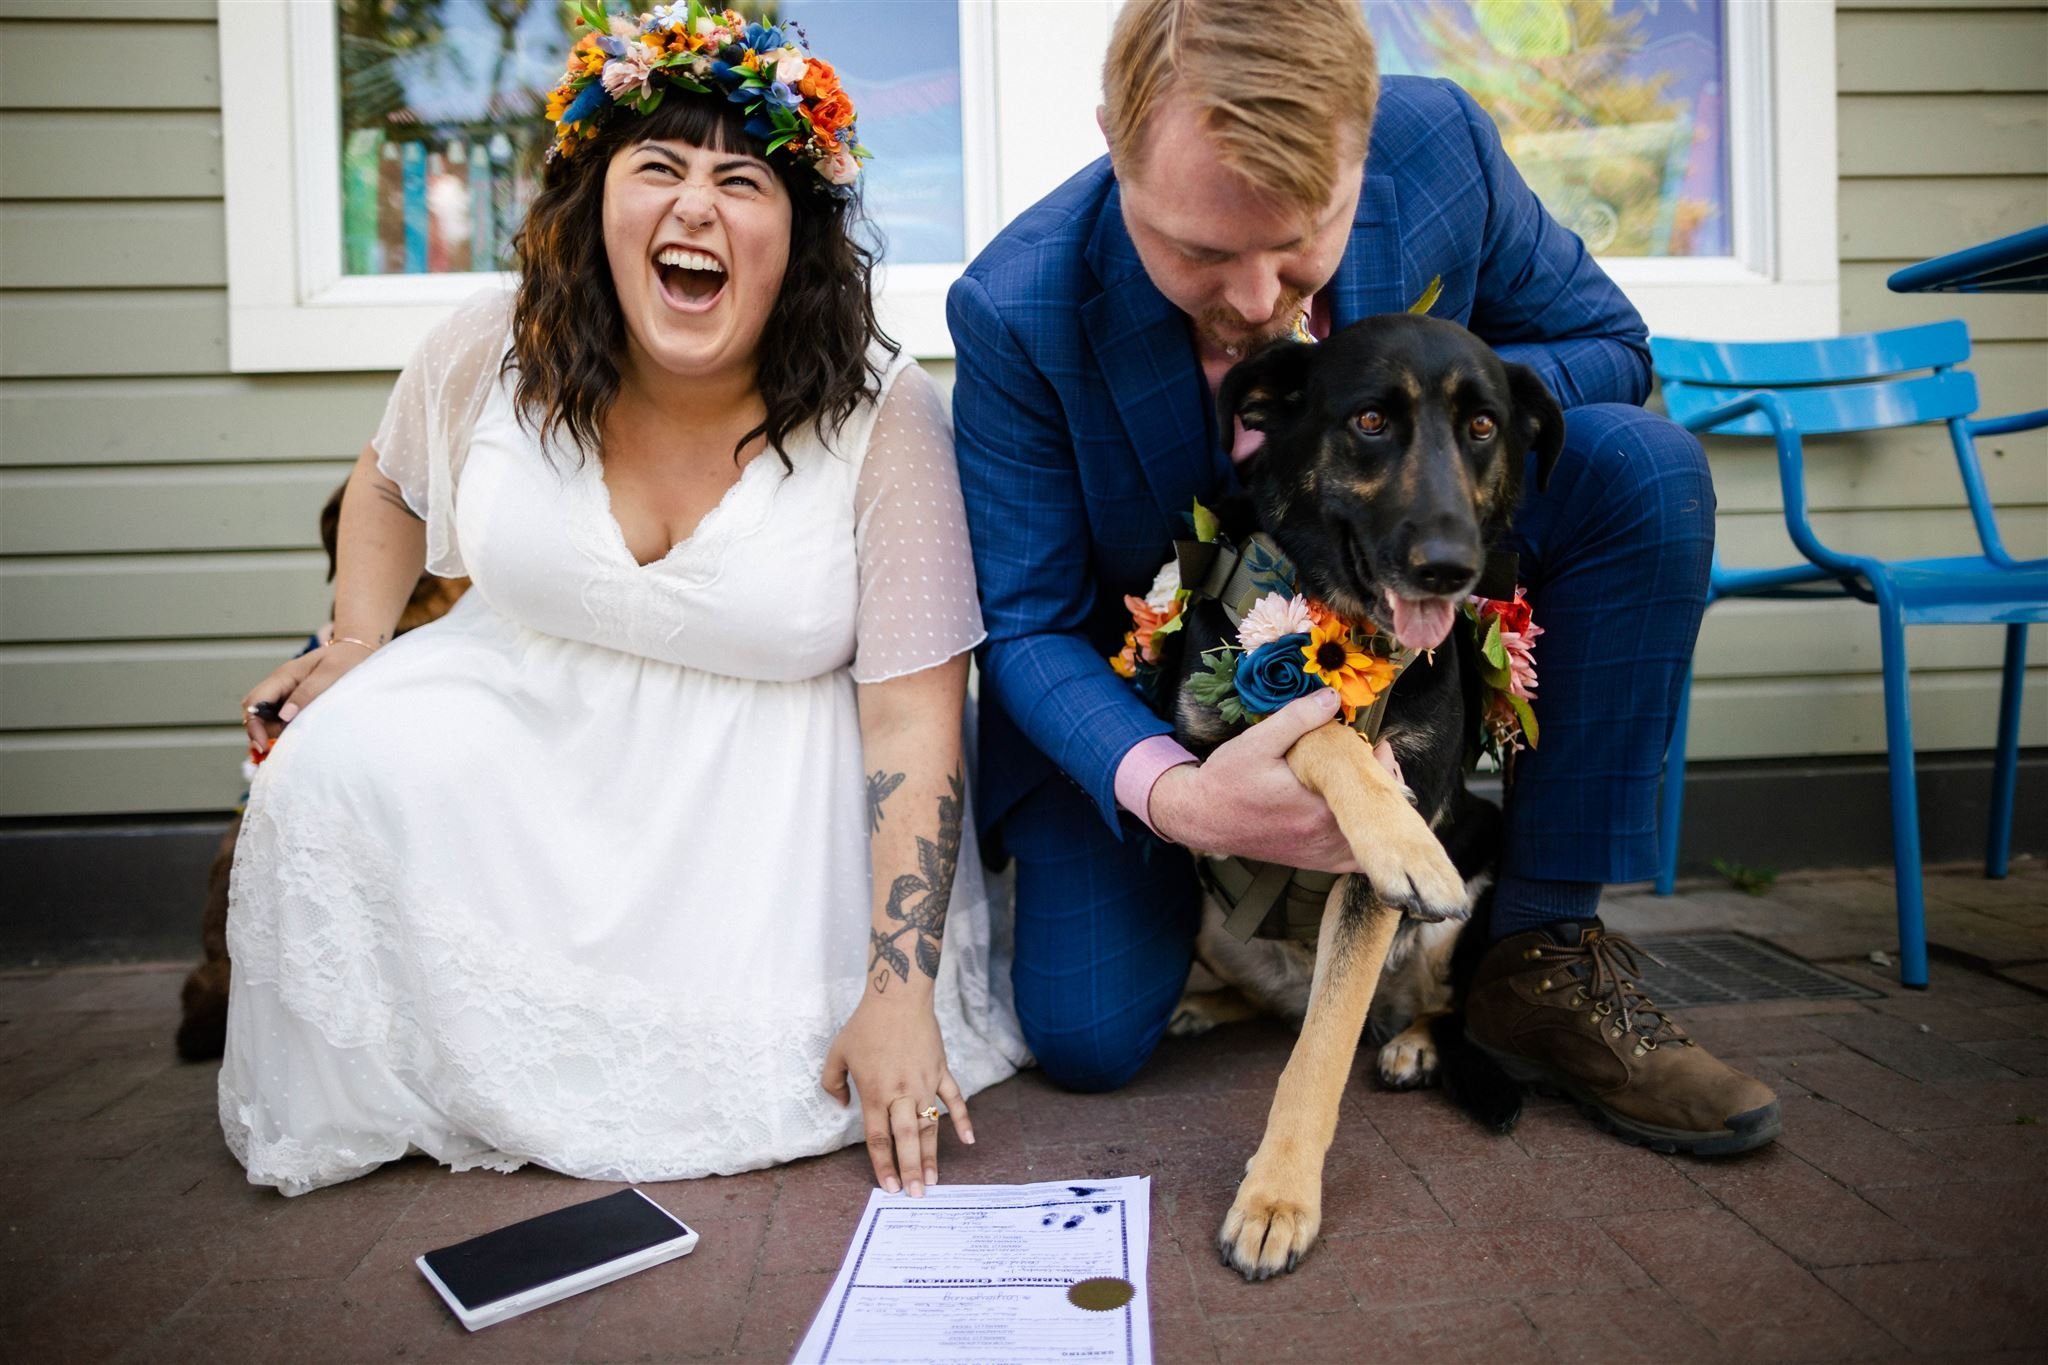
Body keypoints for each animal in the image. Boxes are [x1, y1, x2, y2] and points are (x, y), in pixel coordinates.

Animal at [1146, 313, 1556, 1285]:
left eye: (1482, 428)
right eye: (1371, 420)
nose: (1450, 568)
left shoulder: (1378, 879)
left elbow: (1321, 1050)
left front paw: (1276, 1201)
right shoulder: (1202, 753)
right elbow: (1316, 723)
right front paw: (1397, 832)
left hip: (1479, 871)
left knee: (1426, 1003)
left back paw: (1412, 1042)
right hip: (1206, 918)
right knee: (1274, 1003)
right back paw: (1198, 1004)